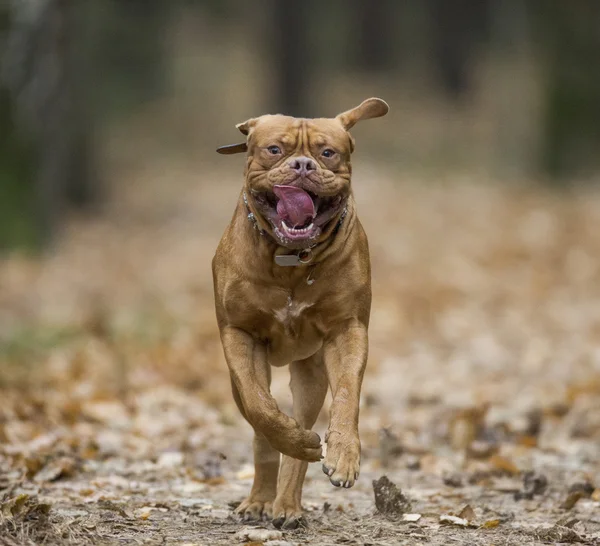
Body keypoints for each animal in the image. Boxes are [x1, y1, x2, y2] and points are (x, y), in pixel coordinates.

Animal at [211, 98, 390, 528]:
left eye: (328, 153)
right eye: (274, 149)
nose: (303, 165)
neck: (289, 259)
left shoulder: (347, 330)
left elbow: (347, 394)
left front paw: (343, 453)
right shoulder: (240, 334)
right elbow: (261, 408)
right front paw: (284, 436)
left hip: (310, 372)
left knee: (304, 425)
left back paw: (288, 502)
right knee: (260, 427)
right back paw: (261, 498)